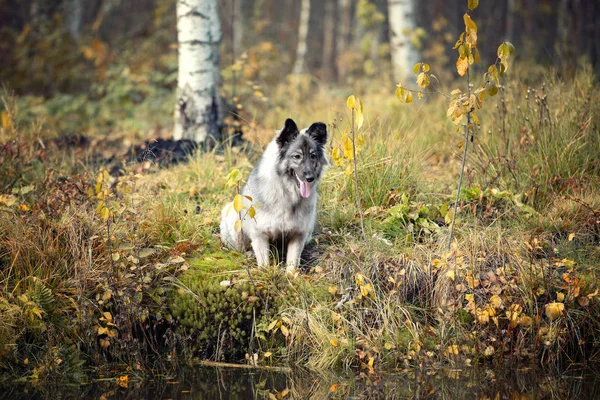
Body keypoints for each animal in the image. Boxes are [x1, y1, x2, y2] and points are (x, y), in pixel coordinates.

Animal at [220, 118, 328, 276]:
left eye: (313, 156)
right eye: (297, 156)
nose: (310, 178)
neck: (287, 194)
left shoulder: (298, 236)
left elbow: (292, 262)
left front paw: (291, 277)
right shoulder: (260, 235)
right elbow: (264, 264)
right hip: (235, 217)